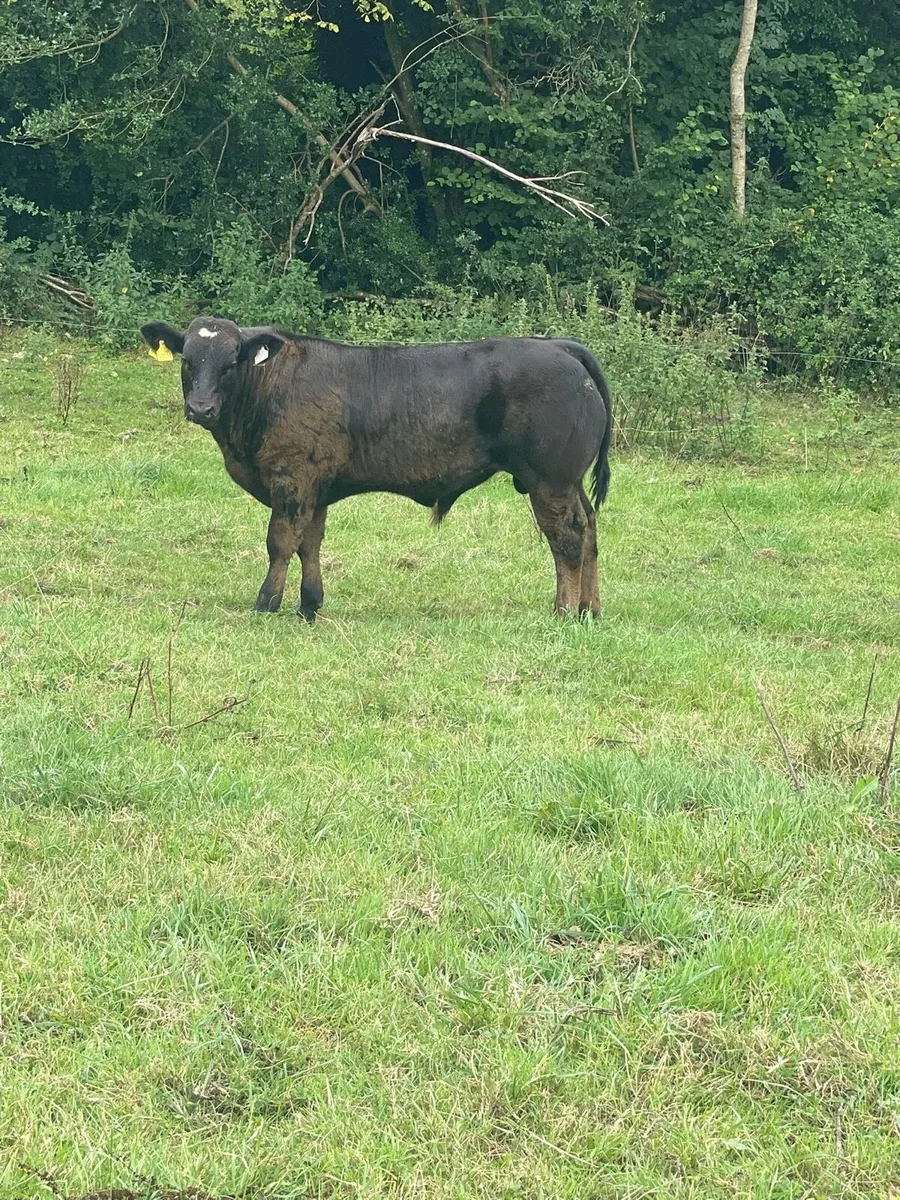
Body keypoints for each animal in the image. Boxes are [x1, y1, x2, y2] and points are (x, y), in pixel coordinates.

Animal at [140, 317, 613, 620]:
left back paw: (564, 610)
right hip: (569, 482)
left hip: (550, 480)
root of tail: (557, 345)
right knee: (589, 528)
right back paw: (589, 609)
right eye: (188, 360)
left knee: (568, 537)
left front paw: (266, 602)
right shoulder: (316, 488)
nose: (201, 407)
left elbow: (281, 543)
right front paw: (308, 605)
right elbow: (310, 544)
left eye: (232, 360)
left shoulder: (292, 480)